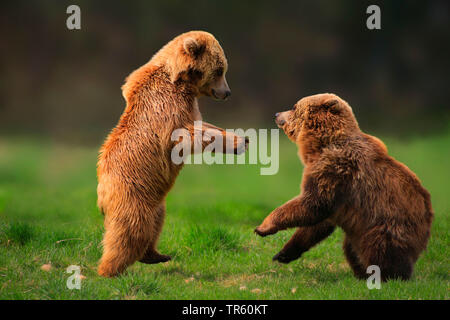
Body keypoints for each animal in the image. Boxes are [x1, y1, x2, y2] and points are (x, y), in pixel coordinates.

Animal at [96, 30, 248, 278]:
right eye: (219, 70)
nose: (227, 92)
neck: (182, 82)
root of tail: (101, 193)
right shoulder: (167, 107)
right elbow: (187, 136)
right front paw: (238, 142)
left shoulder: (189, 106)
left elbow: (204, 125)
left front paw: (240, 138)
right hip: (131, 195)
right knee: (129, 232)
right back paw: (109, 270)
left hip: (156, 203)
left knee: (155, 224)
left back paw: (157, 255)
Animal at [253, 92, 432, 280]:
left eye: (294, 106)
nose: (276, 114)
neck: (320, 145)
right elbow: (318, 223)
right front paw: (283, 253)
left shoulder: (335, 170)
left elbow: (313, 204)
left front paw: (264, 226)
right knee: (350, 248)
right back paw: (362, 273)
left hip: (387, 225)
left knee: (380, 248)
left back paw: (386, 275)